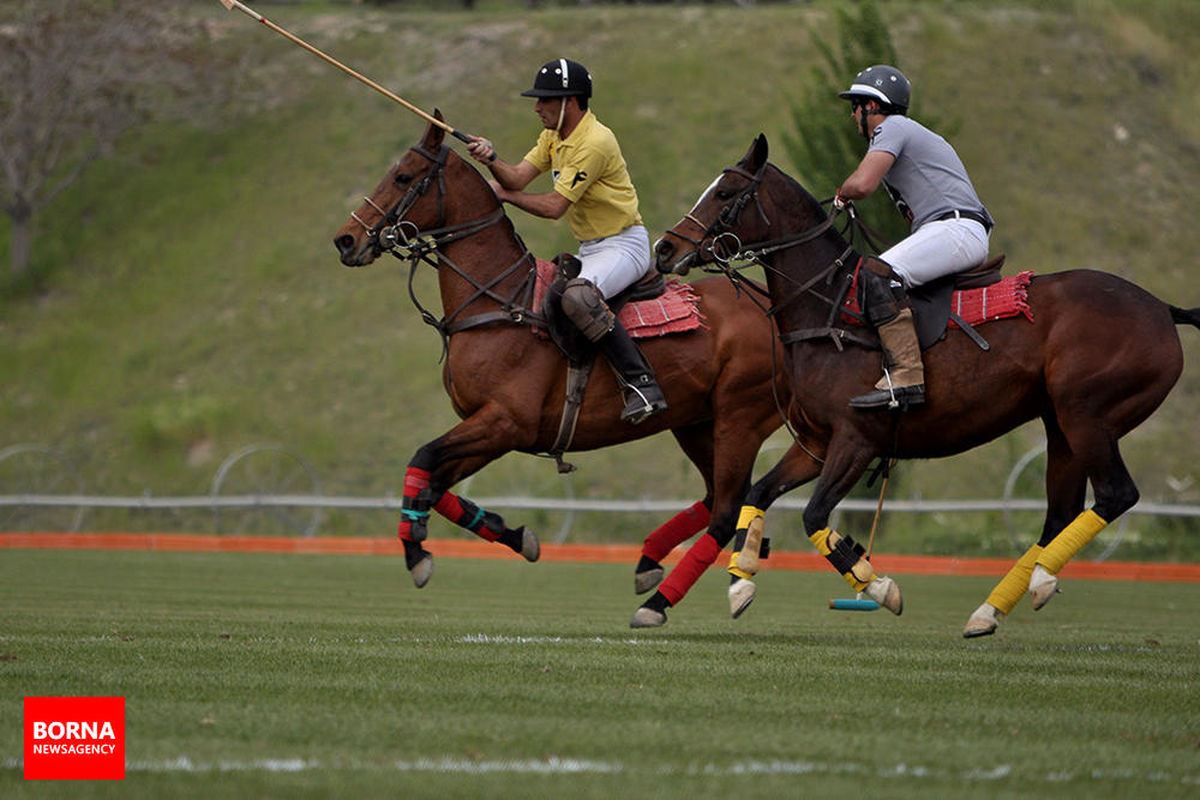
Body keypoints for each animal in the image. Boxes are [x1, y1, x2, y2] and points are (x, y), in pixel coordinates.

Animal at [333, 113, 792, 623]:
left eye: (403, 176)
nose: (346, 239)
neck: (499, 301)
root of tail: (771, 303)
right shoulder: (492, 428)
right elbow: (434, 484)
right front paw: (516, 535)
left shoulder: (506, 421)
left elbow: (422, 459)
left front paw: (416, 554)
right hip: (697, 421)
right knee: (716, 498)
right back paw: (655, 561)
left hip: (741, 416)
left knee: (728, 505)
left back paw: (664, 598)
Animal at [657, 136, 1200, 638]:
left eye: (724, 192)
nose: (666, 248)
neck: (828, 309)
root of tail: (1162, 309)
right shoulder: (815, 442)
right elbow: (761, 492)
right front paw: (741, 582)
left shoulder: (856, 438)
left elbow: (813, 516)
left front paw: (880, 587)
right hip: (1060, 425)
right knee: (1060, 513)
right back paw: (989, 611)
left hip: (1088, 413)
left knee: (1115, 494)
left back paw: (1041, 581)